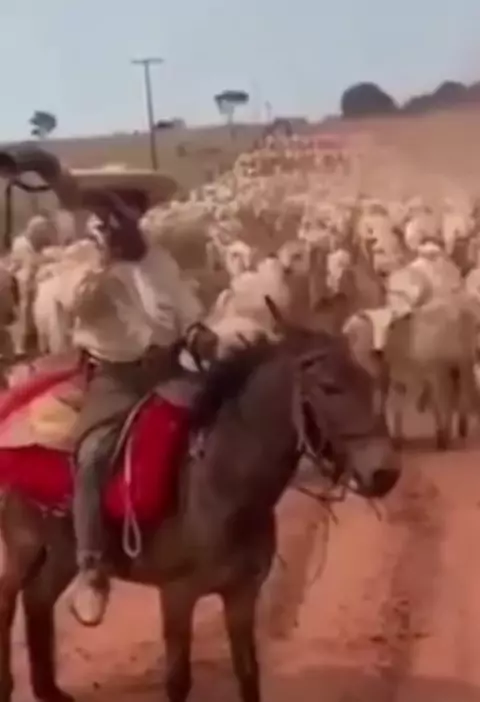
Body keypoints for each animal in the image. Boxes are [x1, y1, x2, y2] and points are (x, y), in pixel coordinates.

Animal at [0, 309, 400, 702]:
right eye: (330, 386)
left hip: (61, 548)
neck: (218, 483)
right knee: (9, 602)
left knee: (37, 597)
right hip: (20, 545)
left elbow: (248, 674)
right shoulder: (177, 596)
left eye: (370, 382)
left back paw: (49, 690)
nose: (385, 474)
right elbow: (178, 681)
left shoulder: (241, 595)